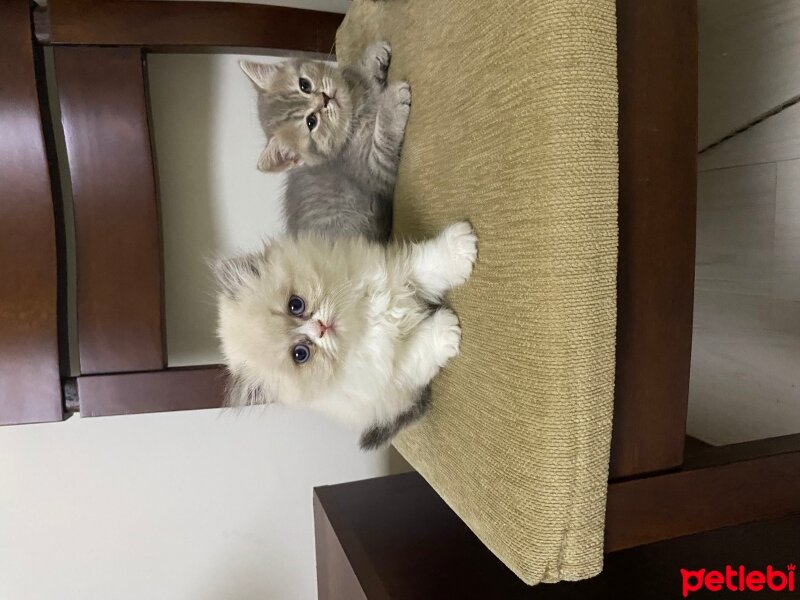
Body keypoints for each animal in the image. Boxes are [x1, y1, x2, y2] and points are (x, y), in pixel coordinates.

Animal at [216, 223, 478, 448]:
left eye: (295, 305)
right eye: (300, 354)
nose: (321, 328)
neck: (362, 320)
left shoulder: (389, 271)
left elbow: (425, 265)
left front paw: (460, 248)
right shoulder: (392, 372)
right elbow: (420, 347)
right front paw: (447, 330)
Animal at [241, 42, 410, 241]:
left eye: (304, 85)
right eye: (311, 122)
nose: (324, 99)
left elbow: (358, 75)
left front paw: (372, 55)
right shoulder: (376, 171)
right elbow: (384, 144)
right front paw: (392, 101)